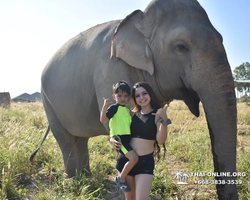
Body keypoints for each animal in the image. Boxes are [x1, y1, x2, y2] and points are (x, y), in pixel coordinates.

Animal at [31, 0, 238, 199]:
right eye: (180, 47)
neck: (139, 22)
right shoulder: (109, 69)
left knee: (80, 140)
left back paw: (87, 178)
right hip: (48, 101)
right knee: (65, 139)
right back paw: (74, 181)